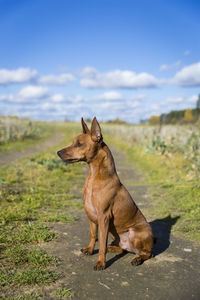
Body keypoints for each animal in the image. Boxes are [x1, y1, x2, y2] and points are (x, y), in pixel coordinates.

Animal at [57, 116, 154, 270]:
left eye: (79, 144)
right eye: (73, 142)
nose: (58, 153)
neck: (95, 176)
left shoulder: (103, 216)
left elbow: (101, 242)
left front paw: (101, 262)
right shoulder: (91, 215)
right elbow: (93, 235)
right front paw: (90, 250)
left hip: (135, 233)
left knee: (148, 253)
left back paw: (138, 259)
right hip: (114, 233)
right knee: (123, 248)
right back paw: (113, 248)